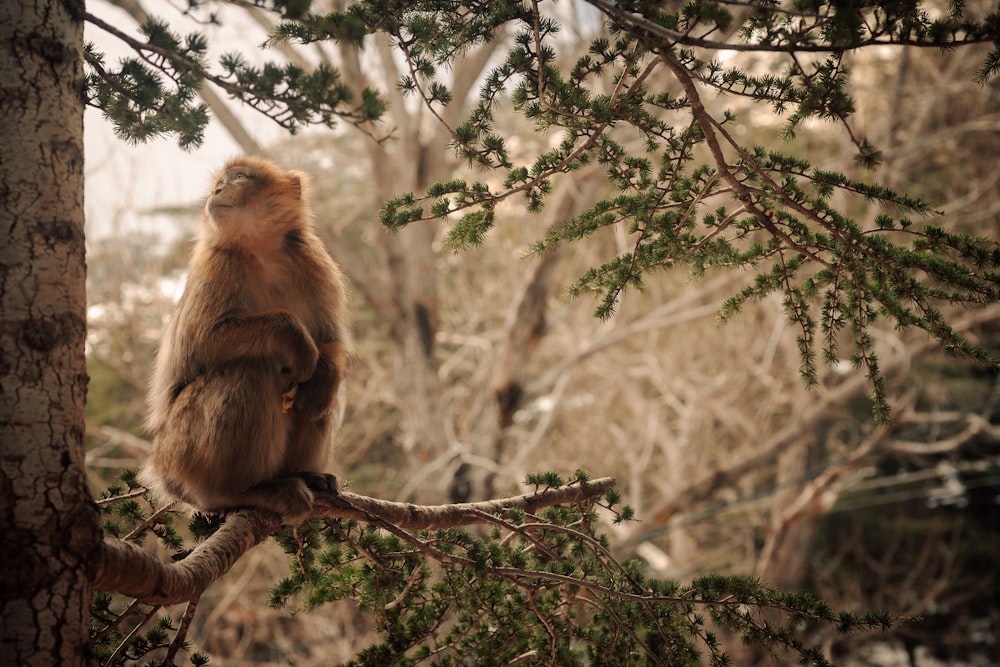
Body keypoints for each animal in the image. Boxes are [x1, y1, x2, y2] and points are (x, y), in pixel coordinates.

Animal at [145, 158, 352, 528]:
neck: (261, 250)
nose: (217, 190)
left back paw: (306, 471)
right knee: (249, 370)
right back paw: (244, 491)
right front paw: (295, 338)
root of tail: (164, 474)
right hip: (181, 450)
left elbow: (332, 342)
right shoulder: (217, 264)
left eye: (238, 178)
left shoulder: (315, 262)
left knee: (324, 393)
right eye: (221, 181)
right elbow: (204, 341)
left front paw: (321, 377)